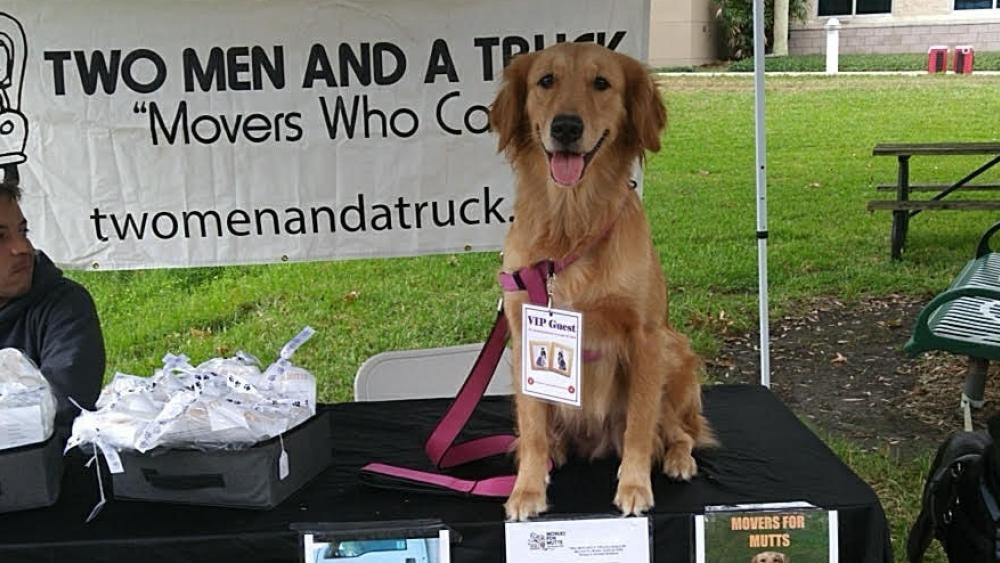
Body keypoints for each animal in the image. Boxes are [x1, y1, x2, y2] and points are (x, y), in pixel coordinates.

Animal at [490, 41, 712, 524]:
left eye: (602, 83)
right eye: (546, 80)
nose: (566, 127)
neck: (572, 222)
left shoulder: (646, 337)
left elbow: (640, 424)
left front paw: (634, 486)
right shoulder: (523, 335)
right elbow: (531, 428)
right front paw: (527, 489)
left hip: (674, 350)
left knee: (679, 431)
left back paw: (677, 459)